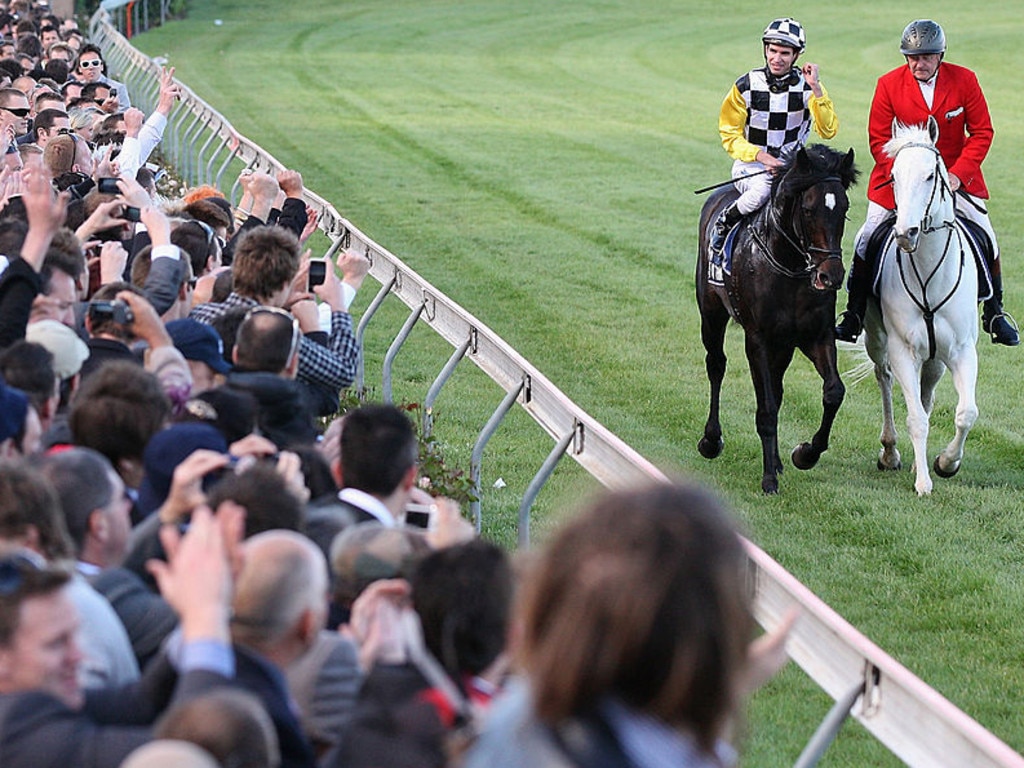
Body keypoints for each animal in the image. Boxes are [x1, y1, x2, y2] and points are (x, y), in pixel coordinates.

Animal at [696, 144, 856, 493]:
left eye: (844, 209)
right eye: (808, 209)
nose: (831, 275)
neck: (789, 266)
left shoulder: (814, 336)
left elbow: (834, 392)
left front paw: (805, 453)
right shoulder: (757, 338)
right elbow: (766, 407)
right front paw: (768, 478)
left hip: (782, 347)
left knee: (778, 388)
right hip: (711, 313)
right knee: (716, 365)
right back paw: (711, 440)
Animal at [868, 117, 978, 495]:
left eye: (931, 175)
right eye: (893, 176)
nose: (906, 233)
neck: (930, 273)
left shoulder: (962, 350)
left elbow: (966, 413)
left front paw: (946, 463)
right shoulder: (902, 349)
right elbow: (915, 417)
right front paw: (923, 482)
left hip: (937, 359)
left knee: (928, 392)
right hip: (877, 341)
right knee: (885, 379)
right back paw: (890, 453)